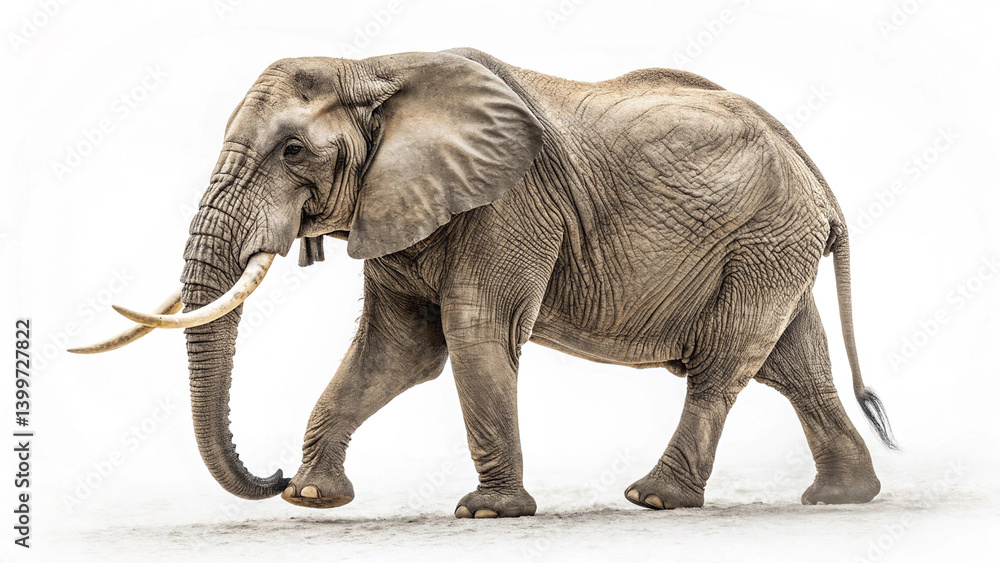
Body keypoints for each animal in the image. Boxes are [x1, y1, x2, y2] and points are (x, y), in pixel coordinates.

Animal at [72, 47, 896, 518]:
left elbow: (474, 333)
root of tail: (813, 171)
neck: (376, 67)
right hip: (772, 245)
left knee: (724, 366)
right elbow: (398, 350)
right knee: (795, 366)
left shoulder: (511, 202)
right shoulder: (400, 202)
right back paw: (841, 497)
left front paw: (490, 512)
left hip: (763, 239)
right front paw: (311, 497)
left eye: (294, 151)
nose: (269, 475)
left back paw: (654, 499)